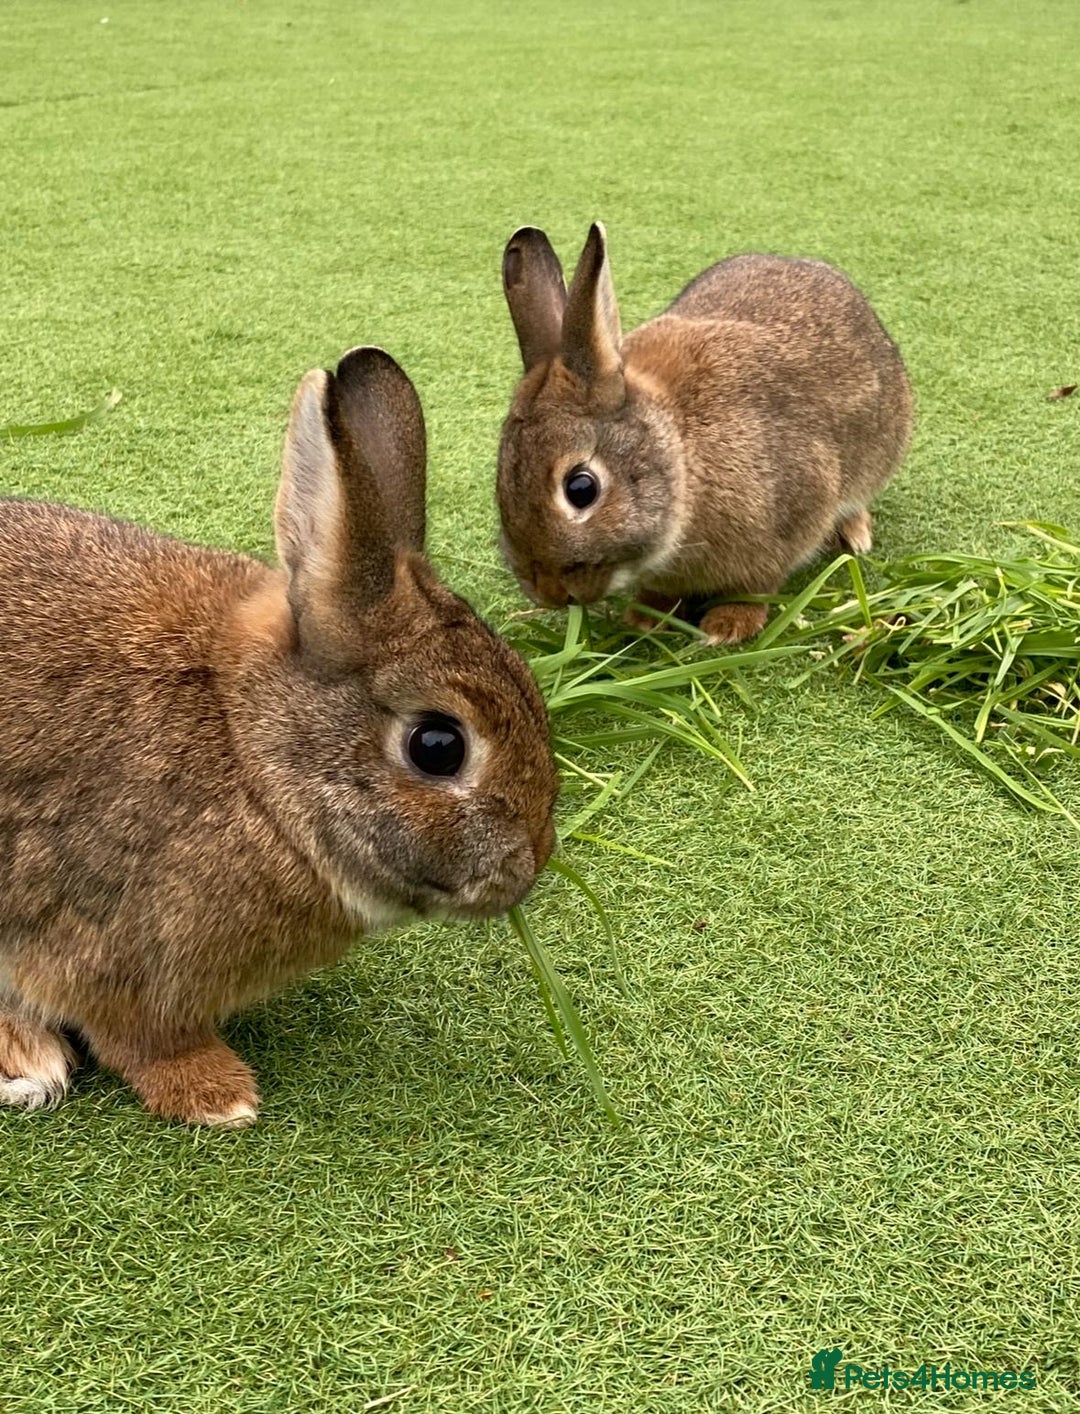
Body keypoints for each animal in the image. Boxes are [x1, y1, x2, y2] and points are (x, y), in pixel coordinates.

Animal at [0, 347, 558, 1127]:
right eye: (438, 746)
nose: (529, 865)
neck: (249, 751)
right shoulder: (108, 948)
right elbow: (141, 1041)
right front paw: (218, 1095)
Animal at [497, 222, 913, 642]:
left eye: (581, 489)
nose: (550, 592)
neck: (683, 457)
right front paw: (646, 617)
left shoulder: (787, 520)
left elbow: (756, 586)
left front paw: (727, 626)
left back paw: (854, 536)